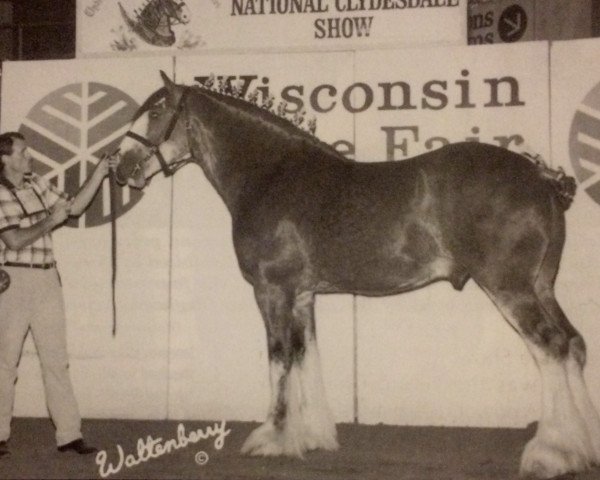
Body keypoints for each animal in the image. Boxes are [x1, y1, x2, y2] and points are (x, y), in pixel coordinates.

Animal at [113, 72, 600, 480]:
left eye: (155, 112)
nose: (119, 166)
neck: (270, 175)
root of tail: (540, 176)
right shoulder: (302, 295)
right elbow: (305, 355)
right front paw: (312, 436)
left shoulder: (272, 291)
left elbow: (278, 358)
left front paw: (271, 437)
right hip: (542, 286)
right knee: (573, 344)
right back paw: (584, 446)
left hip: (510, 288)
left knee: (551, 348)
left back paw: (550, 453)